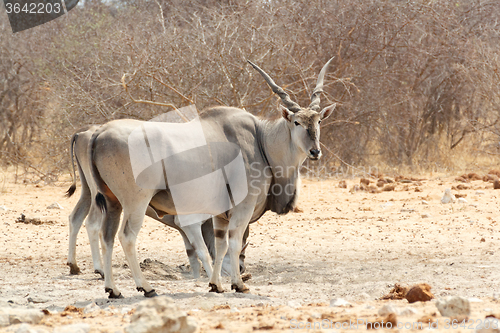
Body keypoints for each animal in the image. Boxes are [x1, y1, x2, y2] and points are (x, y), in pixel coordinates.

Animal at [89, 56, 336, 296]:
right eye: (296, 122)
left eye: (318, 121)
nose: (315, 151)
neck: (260, 140)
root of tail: (100, 133)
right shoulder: (243, 207)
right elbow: (233, 243)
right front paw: (238, 284)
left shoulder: (220, 215)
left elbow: (219, 246)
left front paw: (216, 285)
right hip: (136, 202)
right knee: (127, 236)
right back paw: (146, 287)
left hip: (112, 202)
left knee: (107, 236)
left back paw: (113, 289)